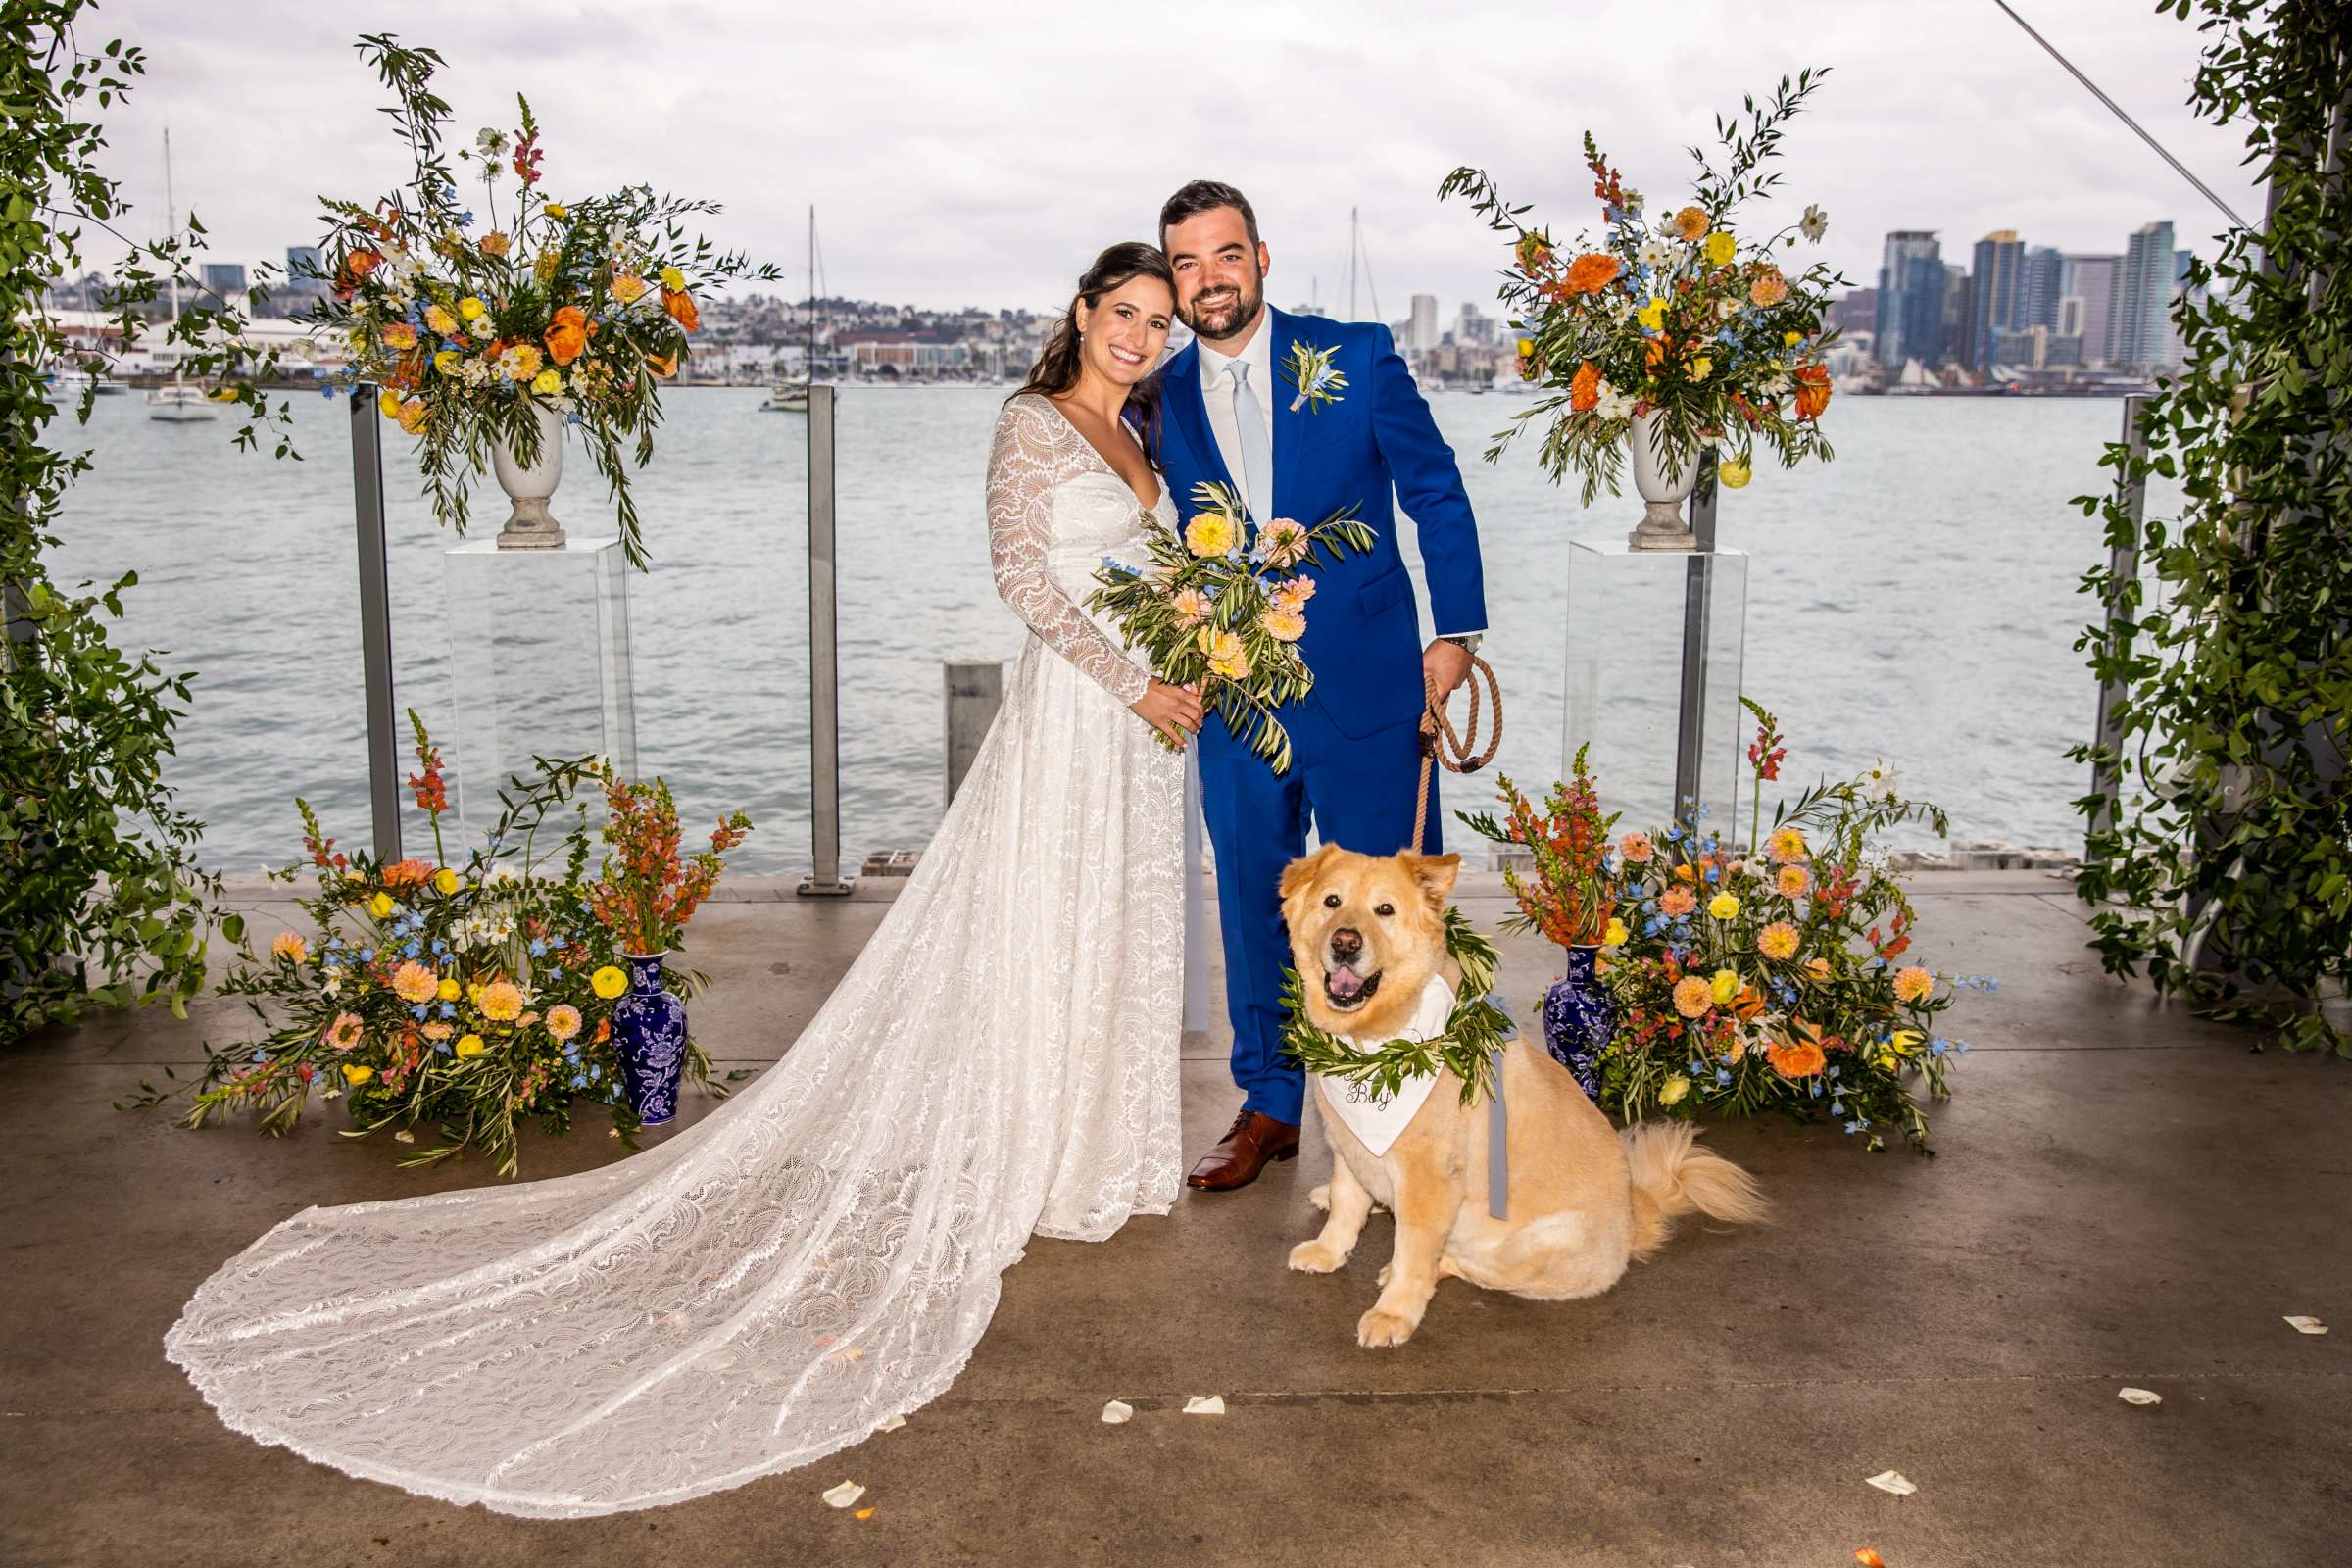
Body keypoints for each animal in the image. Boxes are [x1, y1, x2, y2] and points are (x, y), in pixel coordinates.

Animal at [1279, 846, 1759, 1353]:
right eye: (1332, 901)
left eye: (1384, 910)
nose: (1345, 942)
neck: (1373, 1044)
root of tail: (1634, 1219)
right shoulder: (1351, 1145)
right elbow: (1346, 1205)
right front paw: (1329, 1250)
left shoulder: (1427, 1182)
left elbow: (1412, 1254)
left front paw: (1393, 1312)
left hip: (1520, 1244)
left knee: (1462, 1264)